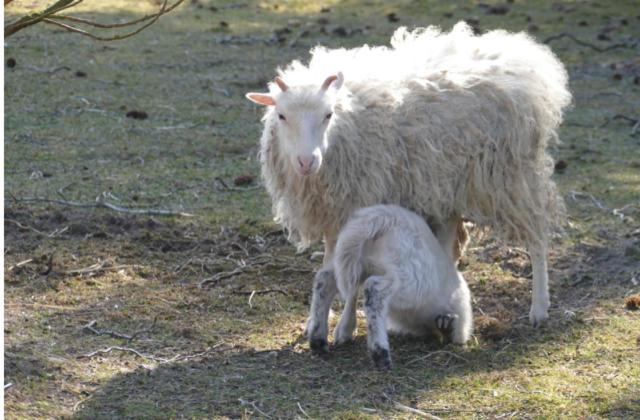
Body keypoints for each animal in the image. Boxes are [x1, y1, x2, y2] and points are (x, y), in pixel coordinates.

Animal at [248, 21, 572, 326]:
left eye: (328, 115)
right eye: (281, 116)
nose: (306, 161)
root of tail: (522, 57)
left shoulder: (358, 203)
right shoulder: (333, 211)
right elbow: (330, 263)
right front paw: (318, 319)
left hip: (510, 176)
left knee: (537, 236)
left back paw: (539, 307)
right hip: (448, 181)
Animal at [304, 205, 470, 370]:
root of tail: (378, 220)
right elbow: (457, 333)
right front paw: (447, 326)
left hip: (350, 260)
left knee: (324, 281)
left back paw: (318, 341)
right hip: (410, 278)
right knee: (374, 290)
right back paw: (380, 353)